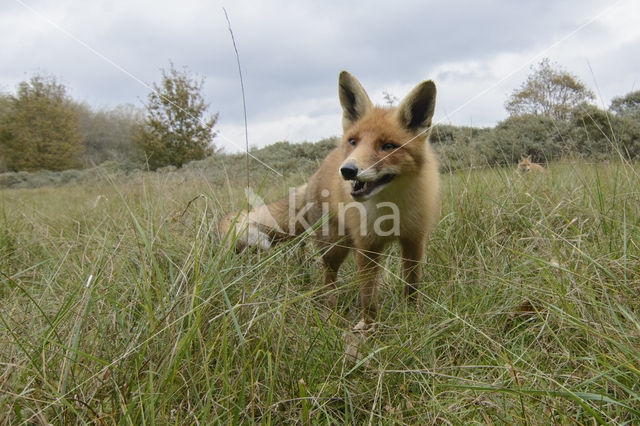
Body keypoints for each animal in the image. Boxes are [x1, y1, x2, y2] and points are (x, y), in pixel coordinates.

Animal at [219, 71, 440, 330]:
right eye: (354, 141)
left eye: (388, 146)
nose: (347, 170)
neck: (391, 209)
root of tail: (316, 174)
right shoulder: (367, 246)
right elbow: (368, 299)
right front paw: (369, 330)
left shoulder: (414, 240)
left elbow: (411, 287)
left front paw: (412, 317)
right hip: (334, 246)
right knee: (328, 279)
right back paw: (329, 313)